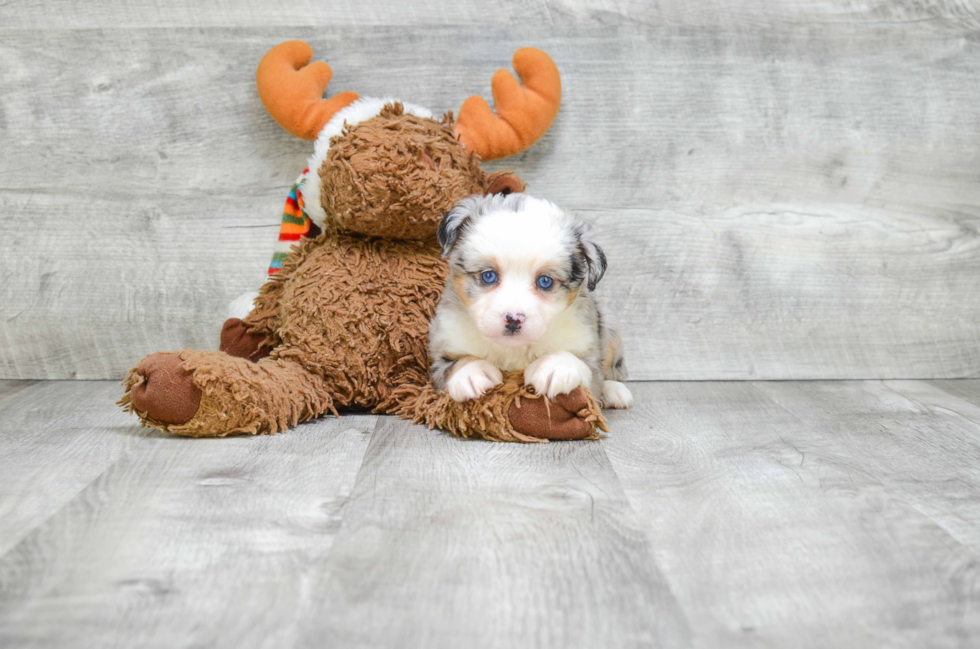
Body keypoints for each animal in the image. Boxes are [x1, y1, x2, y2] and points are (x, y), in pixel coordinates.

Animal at [430, 190, 636, 408]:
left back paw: (615, 391)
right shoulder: (442, 351)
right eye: (488, 275)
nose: (513, 319)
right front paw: (472, 373)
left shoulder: (588, 352)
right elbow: (455, 364)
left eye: (545, 281)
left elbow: (580, 364)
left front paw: (555, 367)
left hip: (610, 331)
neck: (513, 349)